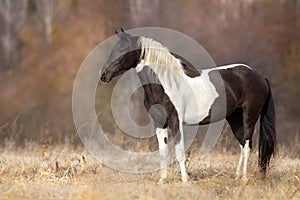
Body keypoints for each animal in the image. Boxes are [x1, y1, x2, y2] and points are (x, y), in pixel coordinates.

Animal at [100, 28, 276, 184]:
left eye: (122, 49)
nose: (103, 75)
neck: (165, 83)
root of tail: (259, 75)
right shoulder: (159, 123)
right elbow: (163, 153)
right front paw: (162, 180)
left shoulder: (175, 121)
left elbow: (180, 152)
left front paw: (185, 180)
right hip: (234, 118)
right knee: (242, 145)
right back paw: (237, 177)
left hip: (249, 116)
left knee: (248, 145)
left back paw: (244, 179)